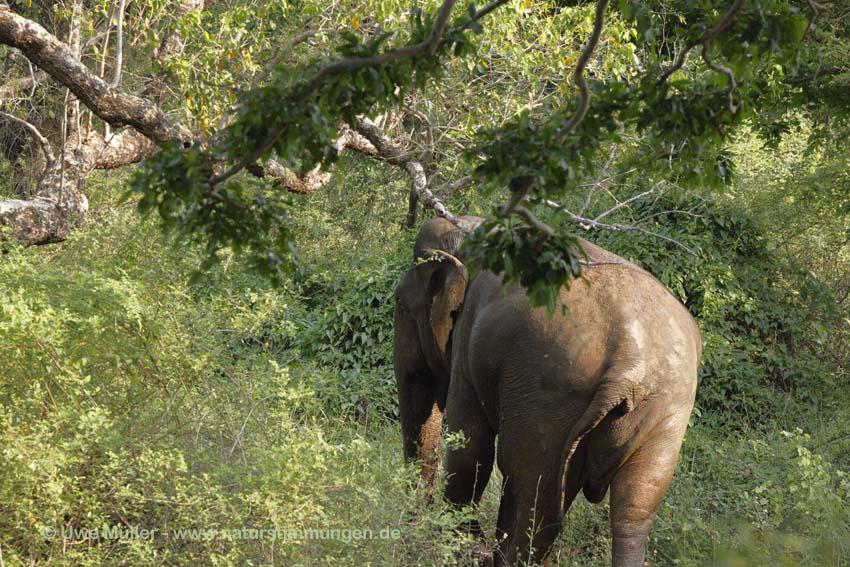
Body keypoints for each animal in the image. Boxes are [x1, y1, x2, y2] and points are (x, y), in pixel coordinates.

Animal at [394, 215, 700, 564]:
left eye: (400, 303)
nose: (414, 523)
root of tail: (630, 365)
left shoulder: (468, 349)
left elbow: (469, 449)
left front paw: (463, 547)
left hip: (553, 392)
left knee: (537, 493)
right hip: (665, 412)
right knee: (633, 508)